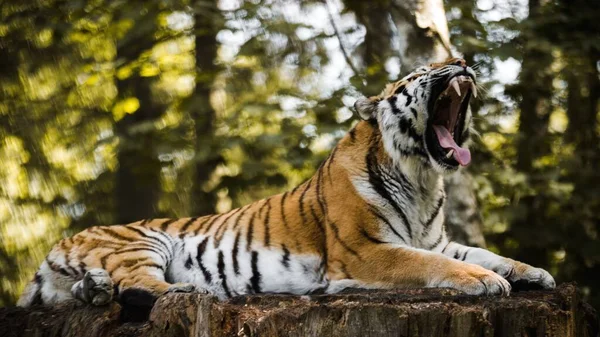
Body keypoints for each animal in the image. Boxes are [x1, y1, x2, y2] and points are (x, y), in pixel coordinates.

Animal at [17, 57, 552, 308]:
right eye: (422, 70)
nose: (461, 61)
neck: (421, 178)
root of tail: (62, 241)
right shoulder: (365, 250)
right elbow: (430, 264)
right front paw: (486, 282)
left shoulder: (435, 238)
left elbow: (480, 252)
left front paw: (532, 272)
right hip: (141, 240)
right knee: (139, 282)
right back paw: (189, 291)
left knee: (99, 287)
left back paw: (95, 291)